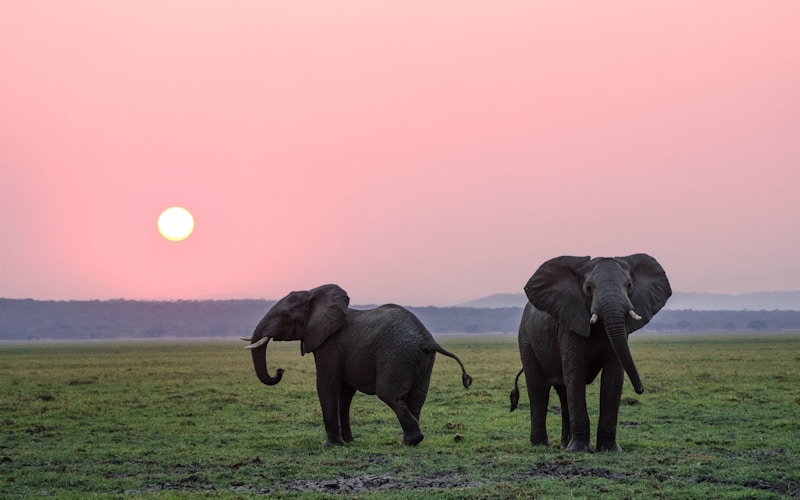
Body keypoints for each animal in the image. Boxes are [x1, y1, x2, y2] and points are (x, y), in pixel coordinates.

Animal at [244, 284, 473, 446]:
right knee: (417, 398)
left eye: (285, 316)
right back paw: (409, 441)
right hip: (423, 359)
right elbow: (345, 393)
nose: (279, 370)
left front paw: (331, 445)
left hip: (397, 355)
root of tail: (427, 338)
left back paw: (411, 440)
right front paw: (349, 442)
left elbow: (327, 385)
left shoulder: (329, 344)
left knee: (390, 395)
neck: (314, 294)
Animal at [510, 254, 671, 452]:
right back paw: (541, 446)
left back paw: (564, 445)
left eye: (629, 285)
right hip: (526, 340)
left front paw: (609, 450)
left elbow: (613, 378)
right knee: (539, 389)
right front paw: (579, 450)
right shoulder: (569, 325)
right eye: (588, 288)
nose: (640, 390)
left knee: (563, 393)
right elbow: (576, 376)